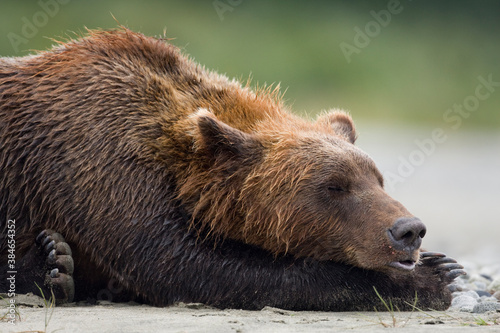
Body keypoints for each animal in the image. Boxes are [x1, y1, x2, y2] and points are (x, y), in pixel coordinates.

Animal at [0, 27, 464, 308]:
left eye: (378, 178)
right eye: (334, 186)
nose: (408, 230)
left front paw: (443, 267)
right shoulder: (96, 156)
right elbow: (181, 262)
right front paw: (433, 277)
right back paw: (52, 263)